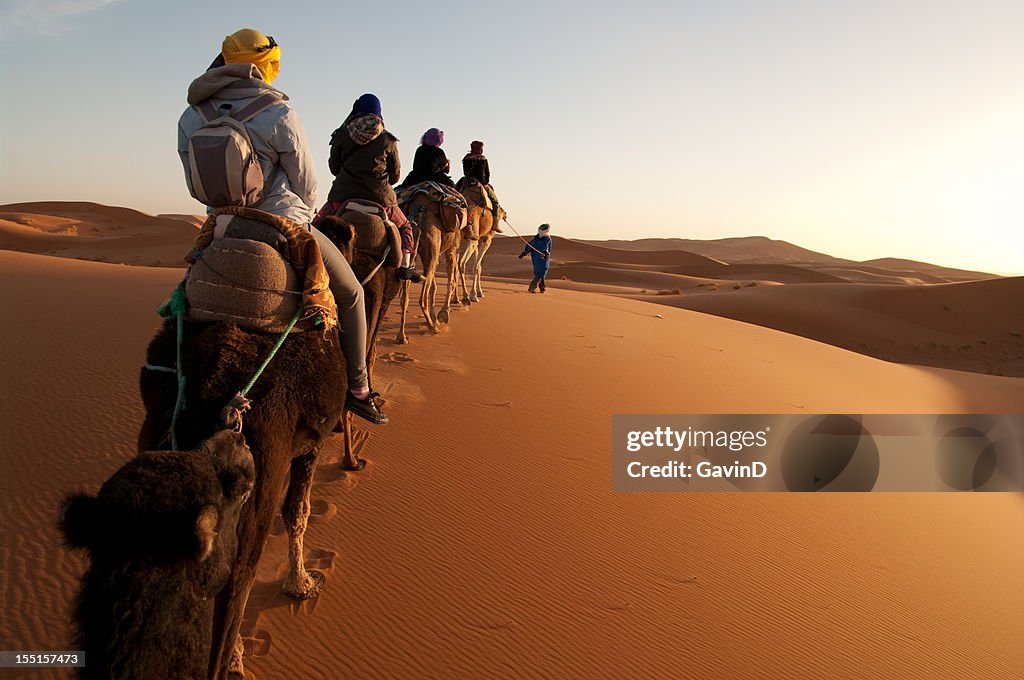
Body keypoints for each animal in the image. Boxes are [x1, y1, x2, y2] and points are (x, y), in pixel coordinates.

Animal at [138, 219, 358, 680]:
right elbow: (297, 512)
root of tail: (212, 378)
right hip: (260, 471)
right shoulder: (307, 444)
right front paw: (301, 584)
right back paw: (230, 660)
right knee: (238, 575)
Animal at [397, 189, 466, 340]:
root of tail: (418, 212)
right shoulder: (451, 250)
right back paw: (432, 327)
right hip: (432, 247)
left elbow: (434, 286)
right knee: (422, 298)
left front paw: (436, 316)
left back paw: (401, 336)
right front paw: (443, 314)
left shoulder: (436, 255)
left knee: (405, 297)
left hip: (413, 250)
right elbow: (451, 280)